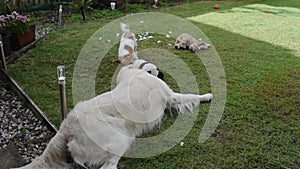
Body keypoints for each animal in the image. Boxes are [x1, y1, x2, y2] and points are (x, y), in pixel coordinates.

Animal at [12, 65, 212, 169]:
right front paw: (207, 96)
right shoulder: (170, 96)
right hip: (120, 138)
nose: (163, 73)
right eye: (157, 69)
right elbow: (190, 95)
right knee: (108, 165)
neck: (136, 73)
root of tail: (67, 126)